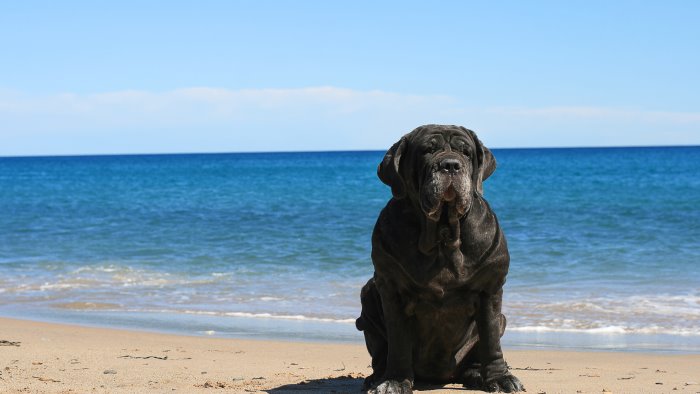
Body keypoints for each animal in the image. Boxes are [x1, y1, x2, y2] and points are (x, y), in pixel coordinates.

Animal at [356, 124, 524, 392]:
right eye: (427, 150)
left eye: (466, 152)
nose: (451, 165)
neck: (443, 232)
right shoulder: (390, 288)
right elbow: (398, 341)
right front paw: (394, 380)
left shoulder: (490, 288)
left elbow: (490, 339)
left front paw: (500, 378)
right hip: (369, 296)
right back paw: (377, 377)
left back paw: (476, 375)